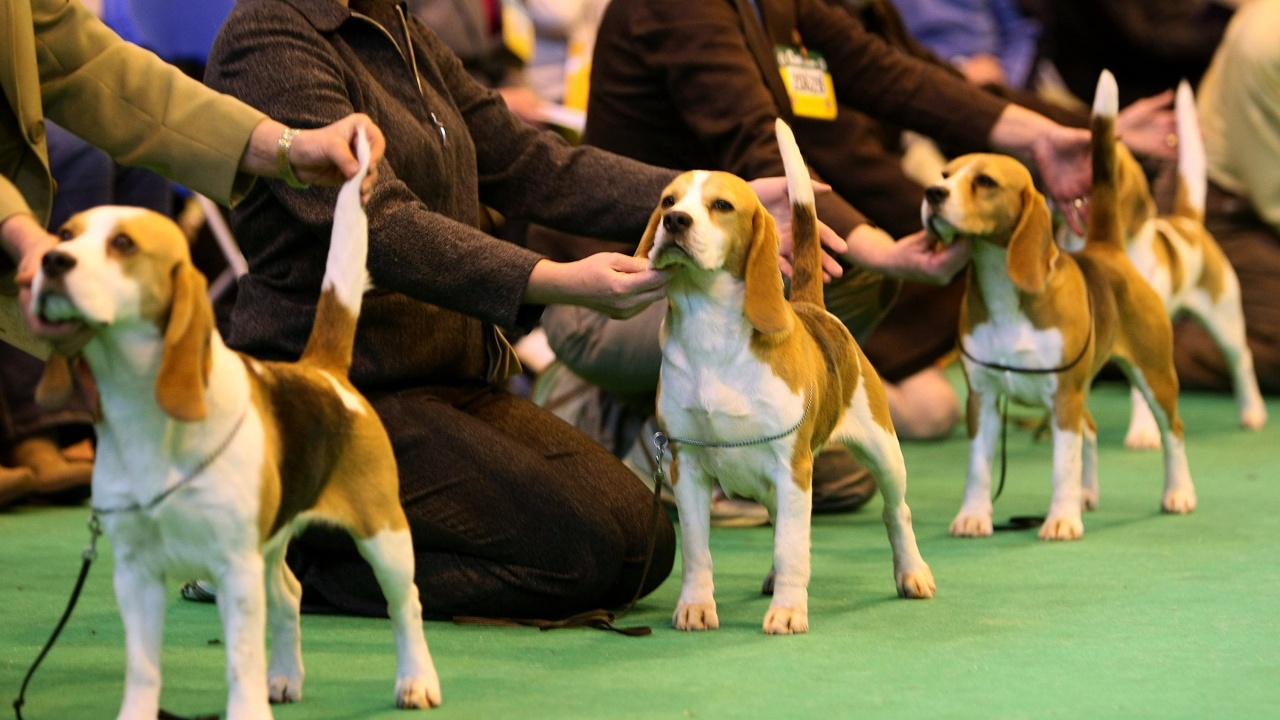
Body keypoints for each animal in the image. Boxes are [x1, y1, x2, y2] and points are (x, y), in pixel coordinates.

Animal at [31, 126, 440, 712]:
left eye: (123, 244)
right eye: (65, 232)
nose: (50, 261)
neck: (144, 416)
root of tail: (321, 370)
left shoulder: (234, 569)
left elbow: (239, 663)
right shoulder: (135, 573)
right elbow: (142, 668)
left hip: (382, 532)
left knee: (405, 602)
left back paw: (416, 681)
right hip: (271, 543)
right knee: (291, 594)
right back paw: (286, 677)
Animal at [637, 117, 931, 632]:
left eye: (721, 206)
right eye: (668, 201)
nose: (675, 223)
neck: (711, 331)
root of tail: (811, 307)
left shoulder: (792, 468)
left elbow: (792, 548)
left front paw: (789, 611)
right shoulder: (686, 467)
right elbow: (697, 552)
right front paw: (695, 605)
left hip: (883, 451)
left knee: (897, 512)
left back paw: (911, 572)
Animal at [921, 71, 1198, 538]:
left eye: (985, 182)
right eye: (946, 173)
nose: (932, 192)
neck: (1005, 292)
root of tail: (1106, 250)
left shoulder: (1064, 396)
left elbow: (1061, 466)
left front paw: (1061, 520)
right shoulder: (982, 398)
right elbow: (978, 467)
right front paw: (974, 516)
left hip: (1154, 373)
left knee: (1173, 431)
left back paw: (1178, 493)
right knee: (1092, 429)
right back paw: (1087, 495)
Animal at [1085, 74, 1264, 443]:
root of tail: (1189, 222)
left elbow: (1142, 393)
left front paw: (1142, 434)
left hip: (1224, 320)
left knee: (1242, 361)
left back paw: (1252, 412)